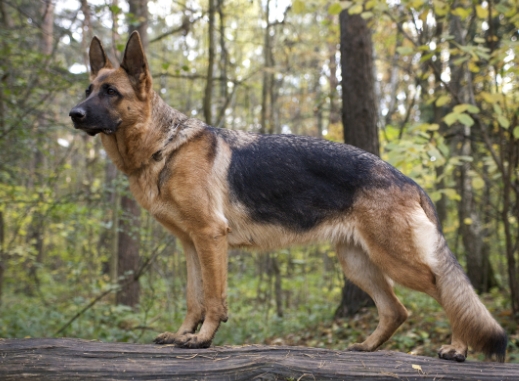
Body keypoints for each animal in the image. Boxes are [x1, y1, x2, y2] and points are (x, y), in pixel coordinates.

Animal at [70, 31, 508, 360]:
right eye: (89, 89)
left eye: (111, 92)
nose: (74, 114)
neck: (163, 146)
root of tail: (410, 181)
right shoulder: (191, 245)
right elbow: (194, 297)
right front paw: (182, 334)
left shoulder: (210, 238)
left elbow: (213, 298)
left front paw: (204, 338)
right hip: (358, 264)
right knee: (396, 310)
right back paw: (367, 347)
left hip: (397, 260)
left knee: (445, 291)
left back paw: (457, 348)